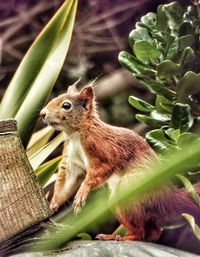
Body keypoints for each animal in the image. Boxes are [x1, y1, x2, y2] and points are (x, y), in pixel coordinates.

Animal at [40, 81, 200, 240]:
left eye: (66, 105)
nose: (42, 114)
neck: (75, 132)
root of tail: (169, 196)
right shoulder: (71, 158)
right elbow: (67, 181)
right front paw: (53, 204)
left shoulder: (102, 148)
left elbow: (101, 169)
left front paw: (81, 193)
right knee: (153, 231)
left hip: (130, 189)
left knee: (140, 233)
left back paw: (122, 237)